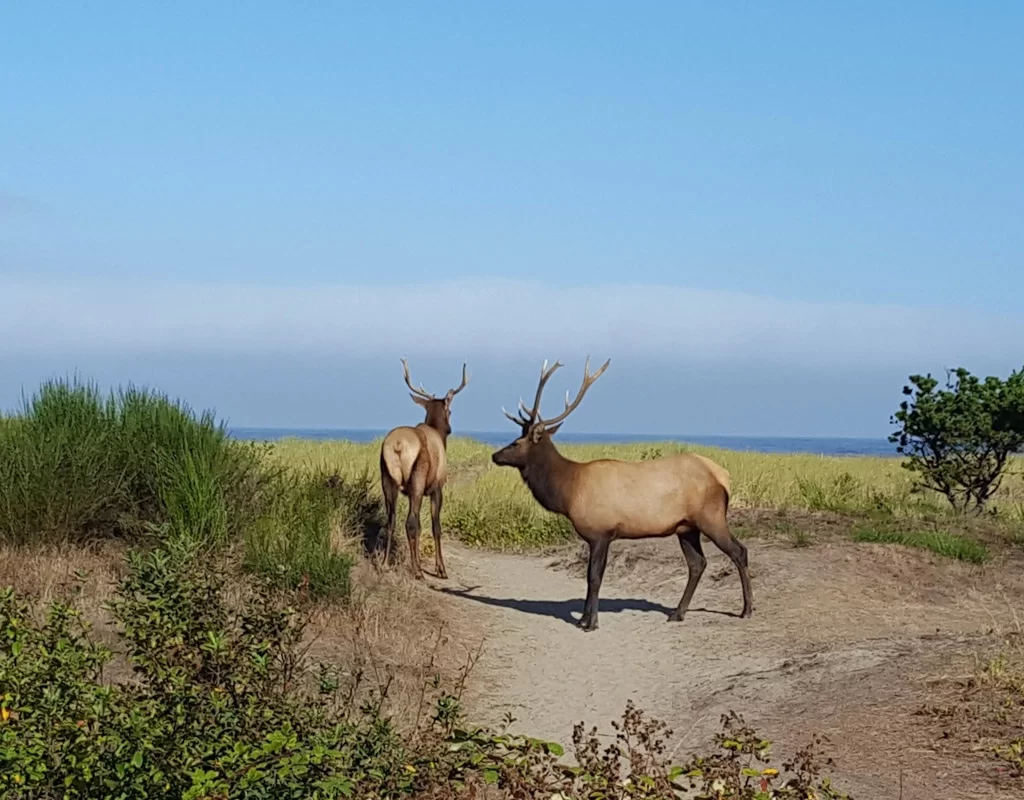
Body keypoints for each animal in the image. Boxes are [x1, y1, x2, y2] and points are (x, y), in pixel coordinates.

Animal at [378, 358, 468, 577]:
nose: (450, 428)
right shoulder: (437, 487)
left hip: (387, 477)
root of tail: (397, 445)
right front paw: (441, 568)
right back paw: (417, 570)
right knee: (410, 522)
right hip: (418, 478)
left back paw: (385, 563)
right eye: (450, 411)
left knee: (391, 520)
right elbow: (436, 526)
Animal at [487, 356, 753, 630]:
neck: (568, 491)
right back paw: (677, 613)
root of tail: (723, 477)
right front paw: (583, 618)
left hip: (711, 516)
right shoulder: (599, 536)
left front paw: (590, 622)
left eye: (516, 443)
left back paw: (746, 609)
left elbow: (594, 577)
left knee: (739, 551)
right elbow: (590, 577)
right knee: (697, 563)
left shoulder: (601, 532)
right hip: (686, 527)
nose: (495, 455)